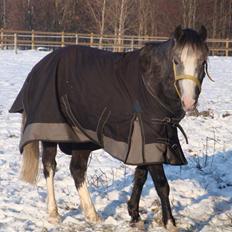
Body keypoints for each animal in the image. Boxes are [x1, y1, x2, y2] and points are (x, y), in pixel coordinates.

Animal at [9, 25, 209, 230]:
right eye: (176, 61)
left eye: (203, 62)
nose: (189, 102)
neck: (150, 85)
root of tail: (39, 67)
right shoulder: (151, 139)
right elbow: (161, 184)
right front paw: (170, 223)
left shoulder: (145, 141)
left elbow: (140, 177)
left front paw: (135, 216)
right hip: (50, 132)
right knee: (49, 167)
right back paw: (54, 214)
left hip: (81, 137)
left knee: (77, 169)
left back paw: (92, 214)